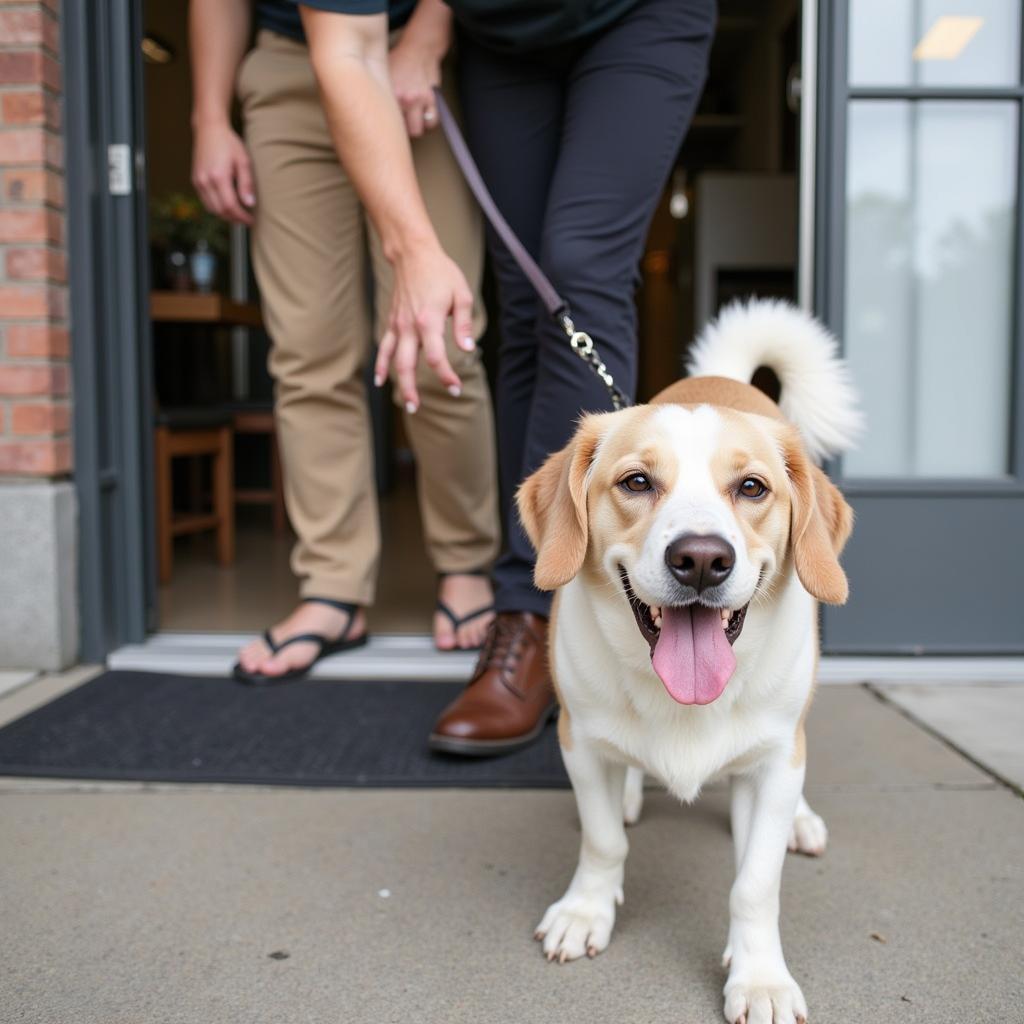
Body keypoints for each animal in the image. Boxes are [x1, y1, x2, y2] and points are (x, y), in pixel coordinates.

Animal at [516, 299, 860, 1024]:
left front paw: (759, 978)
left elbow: (754, 884)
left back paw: (801, 820)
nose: (701, 558)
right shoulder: (579, 742)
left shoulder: (773, 764)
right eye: (637, 481)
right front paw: (586, 911)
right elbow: (603, 842)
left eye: (752, 487)